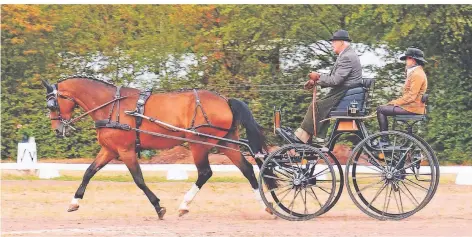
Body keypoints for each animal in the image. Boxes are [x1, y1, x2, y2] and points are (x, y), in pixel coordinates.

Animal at [41, 76, 276, 218]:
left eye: (52, 104)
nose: (57, 130)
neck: (111, 106)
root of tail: (225, 100)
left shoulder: (126, 151)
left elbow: (138, 179)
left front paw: (158, 207)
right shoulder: (109, 150)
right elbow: (88, 172)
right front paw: (74, 202)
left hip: (198, 143)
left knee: (205, 172)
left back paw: (184, 205)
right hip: (225, 142)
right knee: (247, 169)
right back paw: (266, 205)